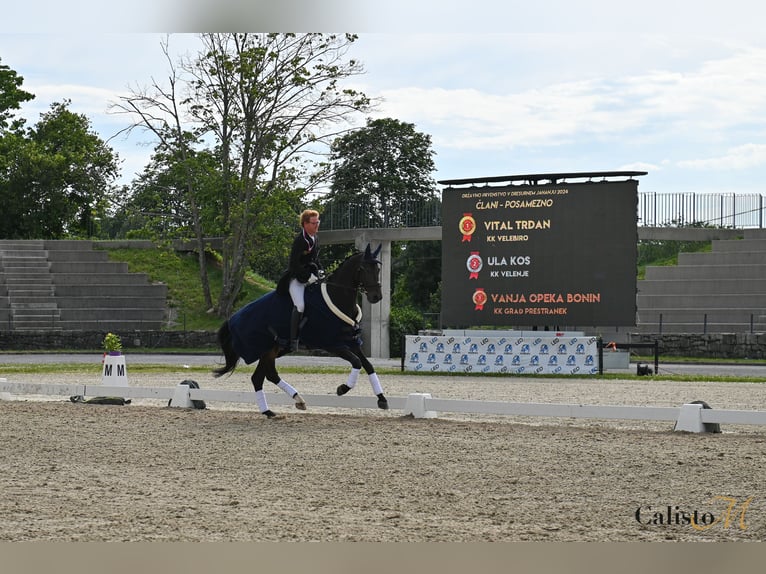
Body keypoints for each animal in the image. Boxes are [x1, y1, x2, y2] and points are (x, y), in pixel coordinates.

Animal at [212, 244, 388, 418]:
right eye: (363, 269)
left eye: (378, 269)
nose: (376, 297)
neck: (336, 298)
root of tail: (232, 319)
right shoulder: (333, 345)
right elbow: (357, 362)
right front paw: (343, 388)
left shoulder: (352, 342)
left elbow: (368, 365)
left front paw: (382, 399)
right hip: (266, 350)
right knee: (263, 376)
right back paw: (278, 407)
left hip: (271, 350)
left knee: (263, 376)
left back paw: (281, 406)